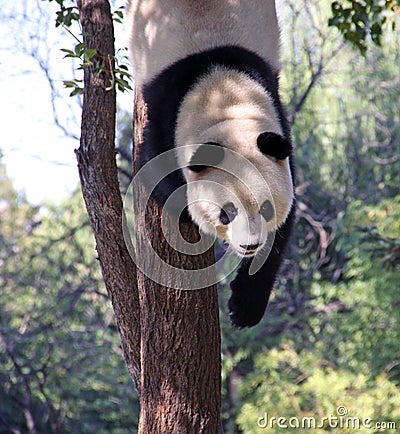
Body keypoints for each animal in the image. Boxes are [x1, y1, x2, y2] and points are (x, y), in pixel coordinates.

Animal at [126, 0, 296, 326]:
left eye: (266, 208)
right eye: (226, 212)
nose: (249, 245)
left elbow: (283, 227)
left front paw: (244, 307)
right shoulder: (167, 109)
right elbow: (155, 170)